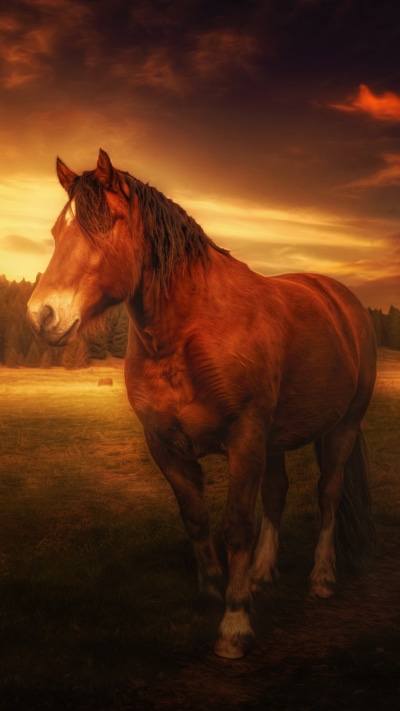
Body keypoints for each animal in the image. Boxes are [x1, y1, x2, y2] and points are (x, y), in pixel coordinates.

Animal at [27, 149, 377, 659]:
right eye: (57, 231)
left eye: (104, 225)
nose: (41, 315)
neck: (189, 332)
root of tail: (340, 297)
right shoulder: (164, 443)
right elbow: (196, 518)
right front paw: (214, 589)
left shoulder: (244, 438)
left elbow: (236, 524)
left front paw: (235, 623)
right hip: (275, 440)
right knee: (277, 493)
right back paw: (262, 573)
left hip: (341, 429)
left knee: (328, 496)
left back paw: (322, 578)